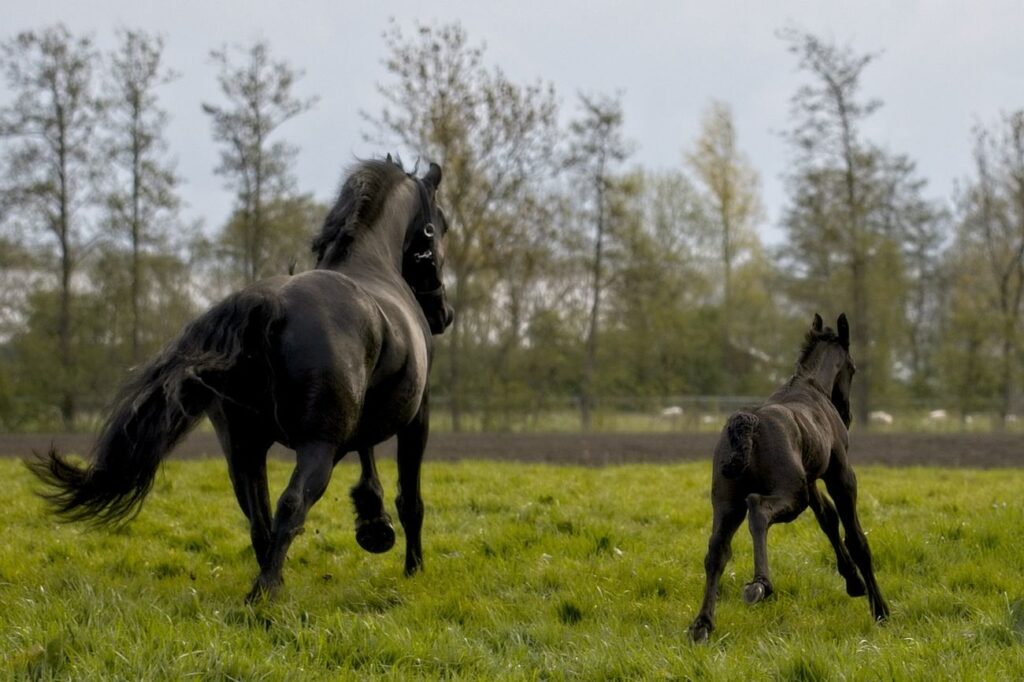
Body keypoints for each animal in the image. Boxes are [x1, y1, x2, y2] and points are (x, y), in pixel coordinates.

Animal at [29, 156, 452, 598]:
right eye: (441, 225)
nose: (445, 315)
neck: (371, 265)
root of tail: (268, 304)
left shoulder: (358, 420)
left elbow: (367, 459)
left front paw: (372, 523)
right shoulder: (414, 417)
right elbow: (410, 500)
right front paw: (411, 565)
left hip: (243, 450)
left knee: (259, 521)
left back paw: (270, 586)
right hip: (314, 447)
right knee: (291, 504)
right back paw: (264, 593)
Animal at [688, 311, 888, 638]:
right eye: (853, 368)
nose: (846, 415)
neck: (811, 387)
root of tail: (746, 423)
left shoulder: (810, 479)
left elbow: (828, 520)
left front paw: (853, 582)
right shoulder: (840, 475)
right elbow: (856, 538)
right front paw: (880, 609)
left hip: (727, 502)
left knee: (717, 550)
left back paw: (703, 624)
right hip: (791, 496)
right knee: (757, 509)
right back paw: (760, 585)